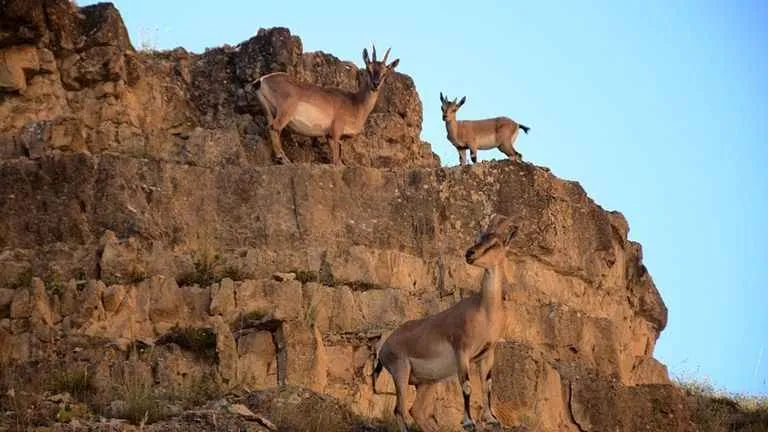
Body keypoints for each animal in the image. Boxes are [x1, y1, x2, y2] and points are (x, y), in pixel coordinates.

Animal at [248, 44, 402, 165]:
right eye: (368, 69)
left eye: (384, 73)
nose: (375, 84)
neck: (355, 103)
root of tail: (261, 80)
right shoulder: (335, 132)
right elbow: (336, 161)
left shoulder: (331, 137)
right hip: (285, 111)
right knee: (275, 128)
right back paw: (284, 159)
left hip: (268, 111)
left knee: (270, 127)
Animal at [372, 216, 516, 432]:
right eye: (478, 238)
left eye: (494, 242)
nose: (469, 254)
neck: (486, 311)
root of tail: (384, 348)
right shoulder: (461, 352)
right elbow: (466, 386)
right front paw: (468, 421)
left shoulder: (487, 354)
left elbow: (487, 384)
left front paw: (491, 419)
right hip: (400, 371)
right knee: (400, 410)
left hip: (426, 382)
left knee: (417, 412)